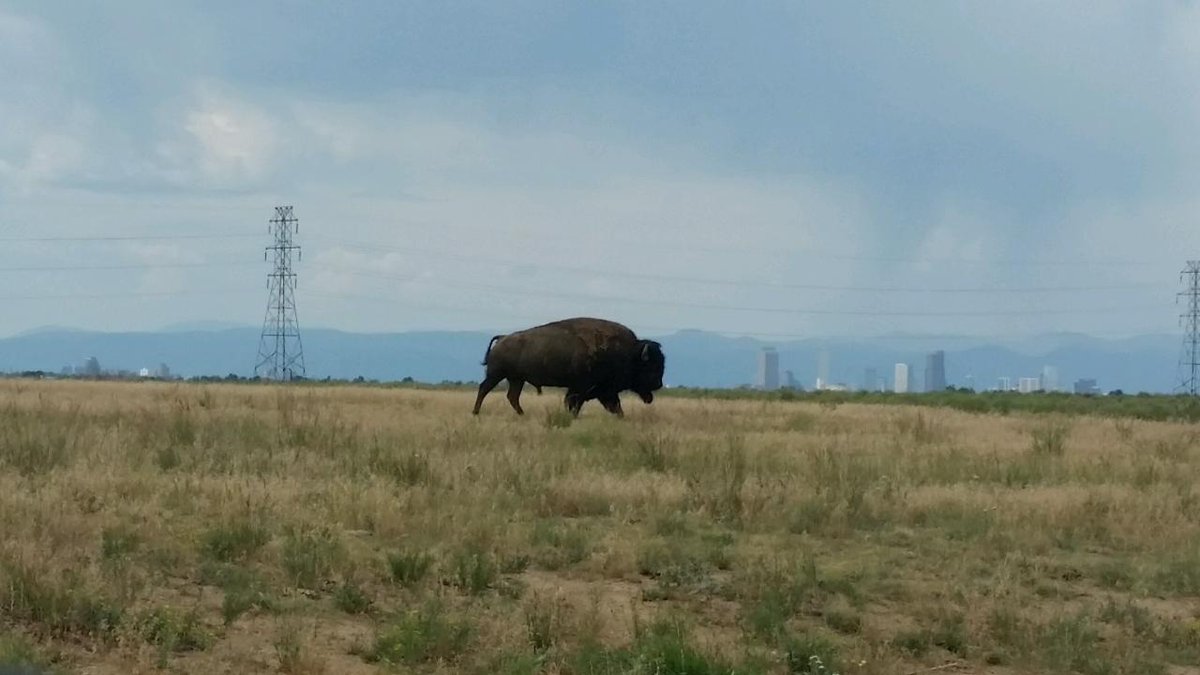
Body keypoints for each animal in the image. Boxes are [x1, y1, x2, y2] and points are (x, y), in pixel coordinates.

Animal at [471, 317, 665, 417]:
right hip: (496, 375)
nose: (658, 384)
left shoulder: (602, 391)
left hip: (516, 379)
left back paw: (522, 414)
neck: (628, 353)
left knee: (512, 396)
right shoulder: (583, 388)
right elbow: (574, 403)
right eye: (650, 366)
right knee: (484, 389)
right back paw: (476, 412)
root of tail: (503, 338)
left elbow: (615, 407)